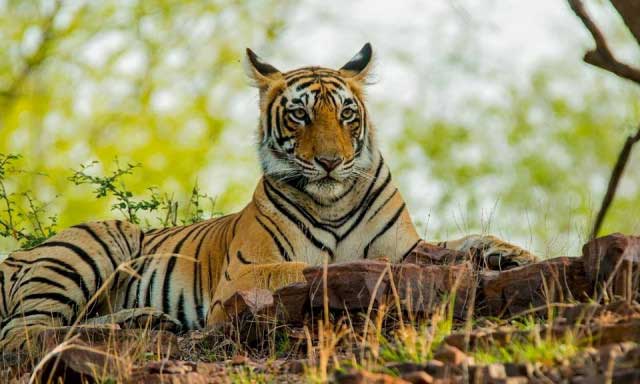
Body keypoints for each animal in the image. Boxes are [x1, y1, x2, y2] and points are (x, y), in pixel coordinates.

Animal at [0, 44, 536, 352]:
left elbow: (465, 242)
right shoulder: (244, 273)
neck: (333, 199)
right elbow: (315, 267)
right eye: (300, 115)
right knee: (25, 335)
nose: (330, 162)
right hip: (89, 244)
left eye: (346, 114)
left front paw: (511, 256)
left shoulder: (405, 245)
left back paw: (146, 321)